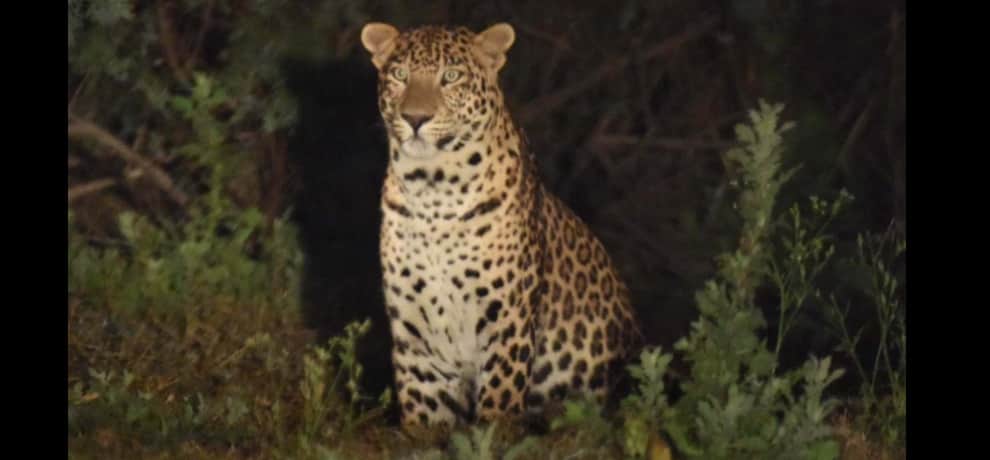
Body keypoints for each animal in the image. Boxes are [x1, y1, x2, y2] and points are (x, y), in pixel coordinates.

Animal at [358, 21, 642, 431]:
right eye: (399, 75)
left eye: (451, 77)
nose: (414, 119)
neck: (433, 192)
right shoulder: (417, 334)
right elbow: (424, 414)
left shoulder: (507, 317)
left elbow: (499, 404)